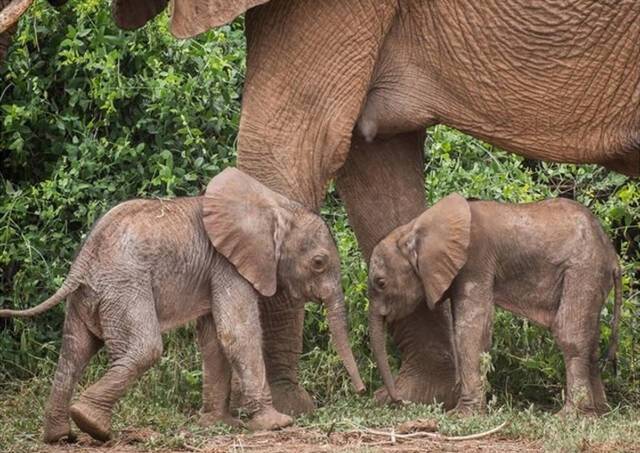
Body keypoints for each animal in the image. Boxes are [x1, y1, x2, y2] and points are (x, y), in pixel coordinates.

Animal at [0, 166, 364, 442]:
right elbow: (237, 333)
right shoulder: (227, 264)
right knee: (144, 348)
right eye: (318, 263)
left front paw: (219, 424)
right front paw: (276, 424)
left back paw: (61, 436)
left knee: (73, 352)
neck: (274, 207)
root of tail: (84, 258)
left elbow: (214, 339)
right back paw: (93, 426)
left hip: (89, 295)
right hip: (124, 286)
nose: (361, 392)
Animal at [368, 193, 624, 414]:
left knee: (570, 333)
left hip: (584, 269)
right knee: (590, 339)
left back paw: (570, 415)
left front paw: (462, 415)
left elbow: (470, 329)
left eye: (380, 283)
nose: (398, 401)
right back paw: (598, 412)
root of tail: (612, 255)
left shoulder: (475, 261)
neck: (415, 228)